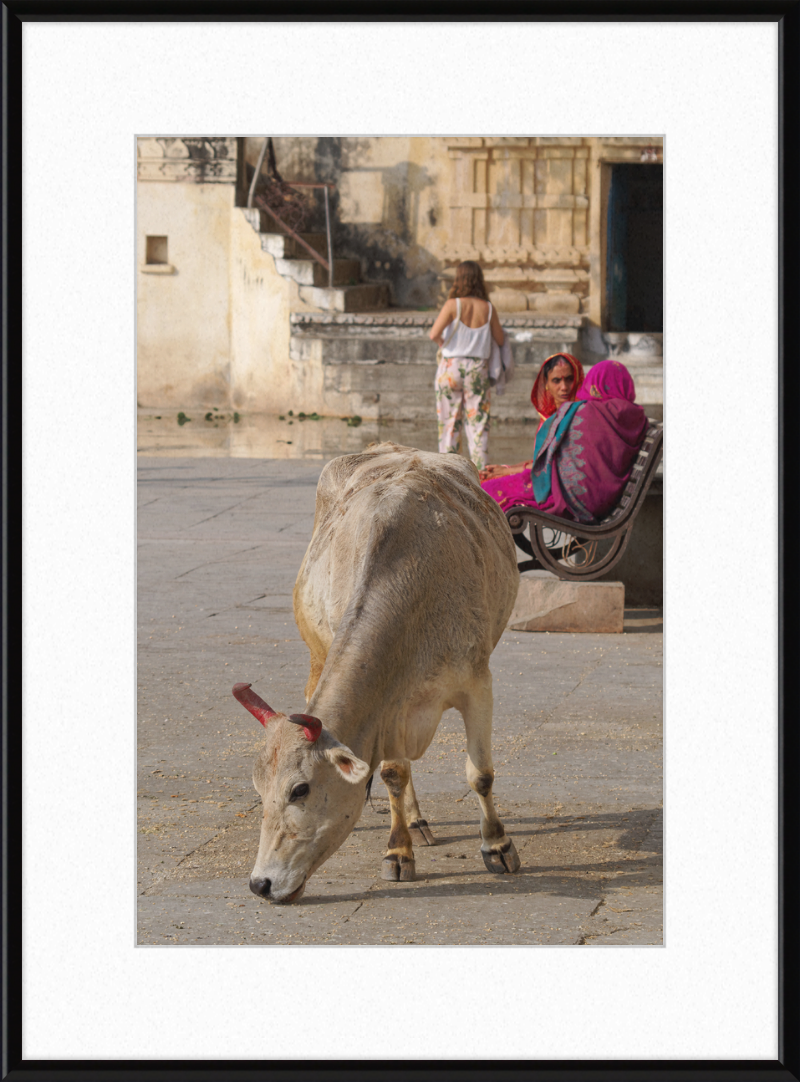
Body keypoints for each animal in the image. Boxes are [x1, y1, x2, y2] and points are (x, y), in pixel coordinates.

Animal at [231, 441, 519, 904]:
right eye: (258, 790)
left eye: (300, 789)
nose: (261, 884)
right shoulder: (388, 703)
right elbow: (392, 773)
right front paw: (398, 852)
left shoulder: (477, 684)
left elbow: (481, 775)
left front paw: (497, 845)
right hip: (318, 655)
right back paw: (413, 823)